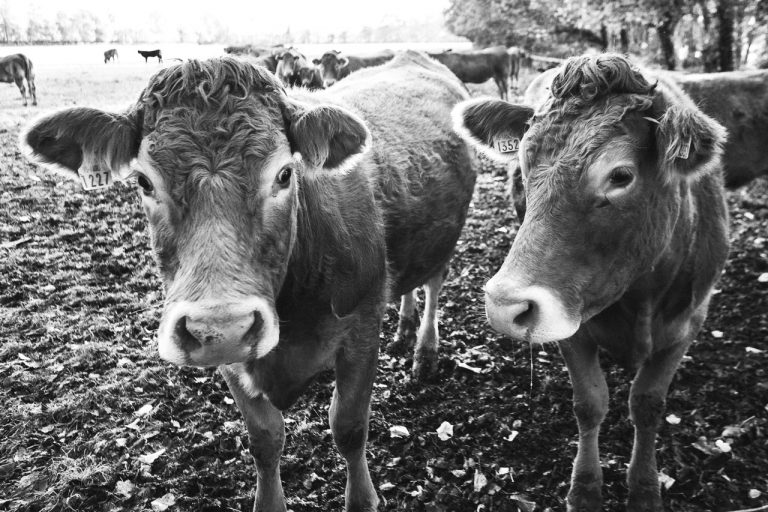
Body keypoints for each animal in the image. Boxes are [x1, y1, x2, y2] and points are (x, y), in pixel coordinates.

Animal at [22, 51, 476, 511]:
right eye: (144, 181)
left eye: (284, 174)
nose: (222, 327)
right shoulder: (232, 358)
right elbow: (265, 439)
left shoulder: (362, 330)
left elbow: (348, 427)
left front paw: (362, 498)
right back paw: (403, 327)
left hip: (446, 240)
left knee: (433, 286)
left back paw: (424, 352)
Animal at [453, 54, 729, 512]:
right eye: (523, 165)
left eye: (620, 175)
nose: (505, 307)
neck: (641, 297)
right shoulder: (571, 322)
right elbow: (589, 403)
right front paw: (584, 487)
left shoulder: (689, 321)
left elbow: (648, 403)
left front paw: (644, 487)